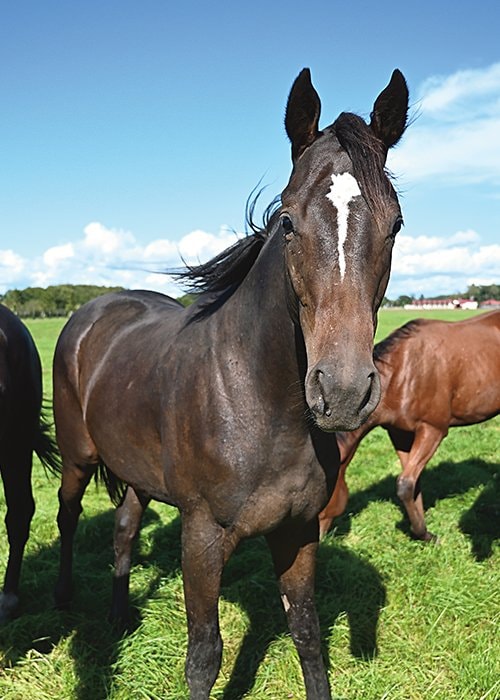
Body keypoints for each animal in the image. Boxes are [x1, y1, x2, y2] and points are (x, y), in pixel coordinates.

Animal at [52, 67, 409, 699]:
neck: (259, 406)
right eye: (287, 221)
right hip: (77, 457)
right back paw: (66, 599)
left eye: (396, 223)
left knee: (124, 527)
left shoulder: (298, 533)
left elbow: (308, 637)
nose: (343, 392)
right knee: (68, 517)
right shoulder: (202, 538)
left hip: (135, 470)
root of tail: (94, 309)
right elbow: (204, 656)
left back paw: (119, 616)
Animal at [319, 311, 500, 542]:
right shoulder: (400, 434)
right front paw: (421, 531)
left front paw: (425, 534)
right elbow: (413, 484)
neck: (403, 371)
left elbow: (405, 484)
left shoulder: (433, 430)